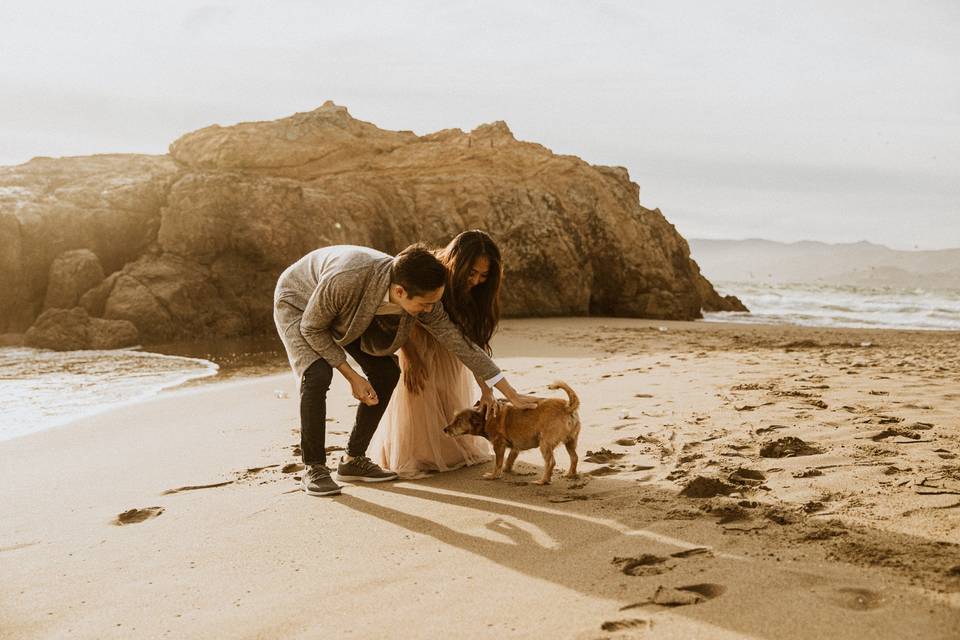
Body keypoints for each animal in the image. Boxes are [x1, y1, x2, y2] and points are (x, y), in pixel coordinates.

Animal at [440, 380, 576, 484]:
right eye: (453, 418)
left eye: (458, 421)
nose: (444, 429)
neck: (486, 417)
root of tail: (567, 407)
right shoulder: (516, 446)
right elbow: (510, 458)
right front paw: (507, 469)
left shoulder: (498, 445)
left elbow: (498, 463)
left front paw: (493, 476)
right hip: (571, 441)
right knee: (574, 457)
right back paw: (570, 474)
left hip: (545, 444)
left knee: (551, 462)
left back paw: (543, 481)